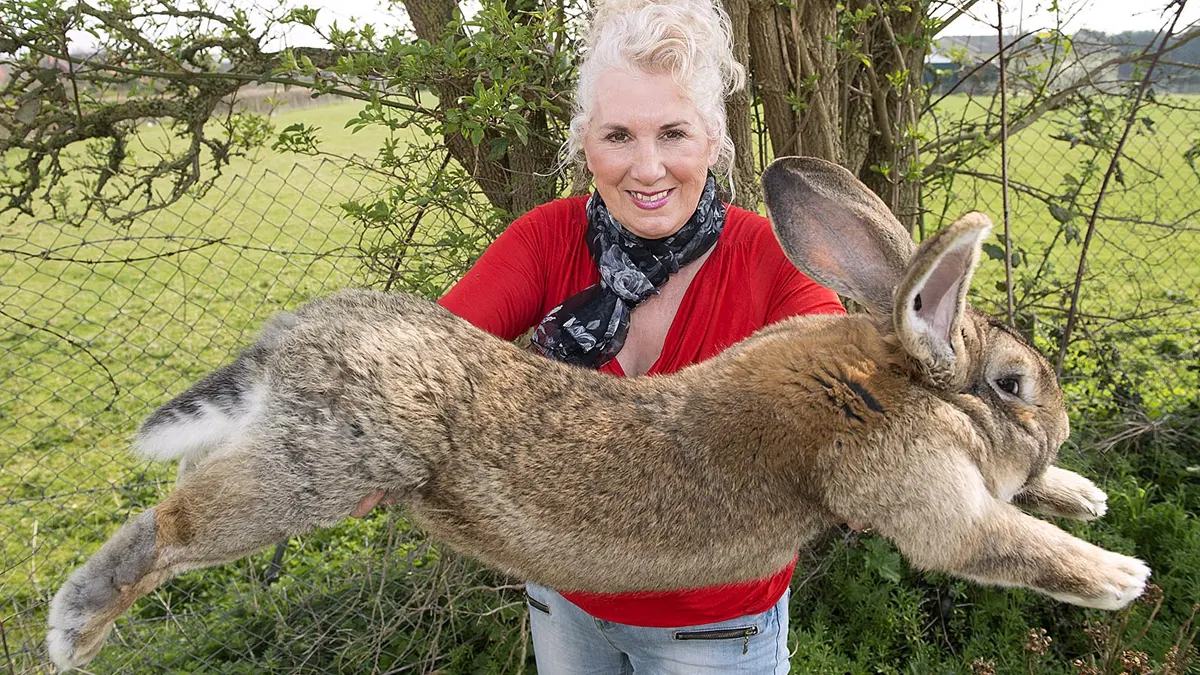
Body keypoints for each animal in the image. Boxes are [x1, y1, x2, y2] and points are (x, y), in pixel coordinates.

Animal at [46, 156, 1152, 667]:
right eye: (1013, 384)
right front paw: (1118, 575)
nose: (1059, 426)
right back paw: (74, 630)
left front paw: (1085, 493)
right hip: (319, 471)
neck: (892, 378)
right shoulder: (923, 494)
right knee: (171, 526)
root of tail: (290, 341)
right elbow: (1002, 542)